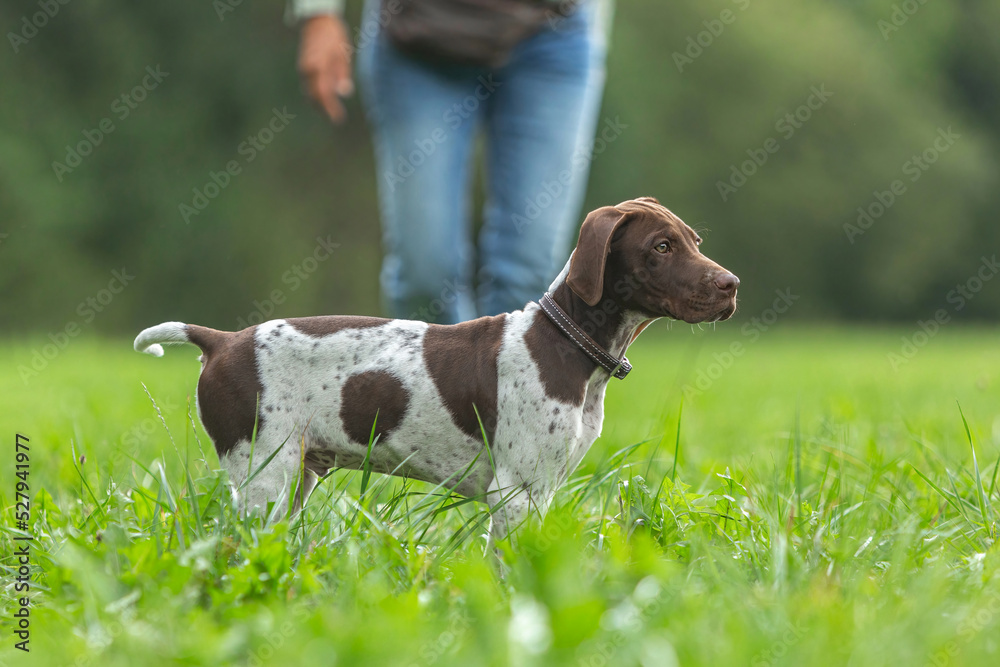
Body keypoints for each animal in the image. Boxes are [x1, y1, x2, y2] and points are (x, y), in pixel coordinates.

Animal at [135, 196, 736, 540]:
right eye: (661, 246)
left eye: (695, 242)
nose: (732, 286)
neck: (568, 346)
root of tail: (222, 341)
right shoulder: (517, 494)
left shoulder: (544, 489)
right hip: (264, 477)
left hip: (295, 475)